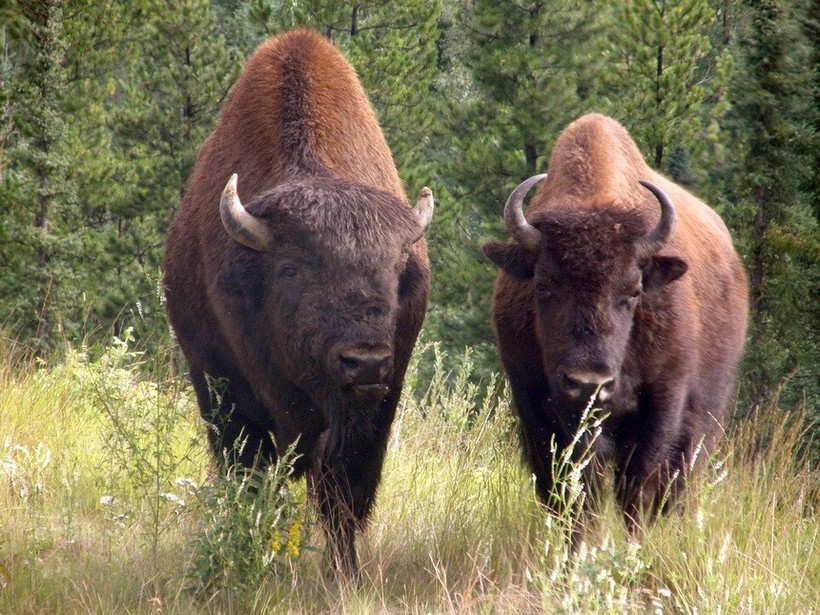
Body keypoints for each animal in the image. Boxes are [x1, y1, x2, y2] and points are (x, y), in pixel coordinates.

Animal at [484, 113, 748, 540]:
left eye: (633, 290)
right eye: (542, 286)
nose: (588, 383)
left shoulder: (661, 406)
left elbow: (638, 489)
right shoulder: (537, 408)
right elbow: (570, 493)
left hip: (704, 419)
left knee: (677, 485)